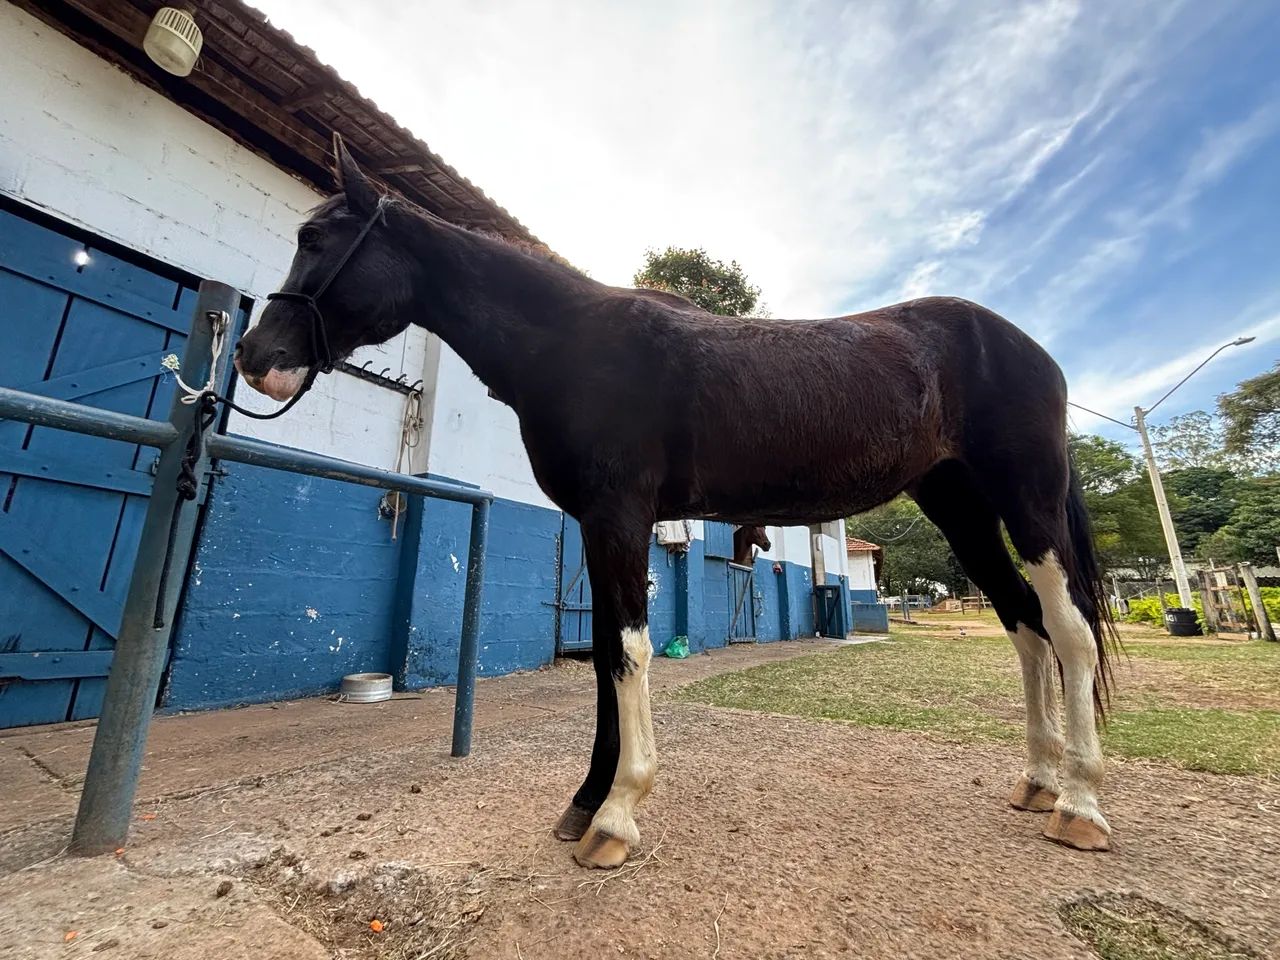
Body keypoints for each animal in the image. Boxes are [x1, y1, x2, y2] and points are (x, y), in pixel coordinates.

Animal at [235, 135, 1118, 867]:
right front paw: (584, 803)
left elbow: (628, 654)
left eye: (317, 241)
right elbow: (604, 659)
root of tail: (1030, 350)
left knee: (1069, 630)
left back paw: (1079, 804)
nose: (254, 356)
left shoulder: (619, 517)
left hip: (1028, 501)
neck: (574, 344)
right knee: (1026, 626)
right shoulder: (598, 526)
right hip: (961, 509)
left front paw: (617, 816)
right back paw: (1037, 781)